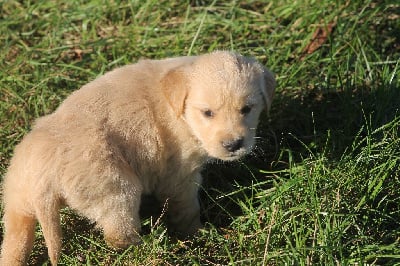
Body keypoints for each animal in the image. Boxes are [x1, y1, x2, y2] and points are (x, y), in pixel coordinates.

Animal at [0, 51, 276, 264]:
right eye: (207, 113)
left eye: (247, 109)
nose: (234, 144)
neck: (176, 107)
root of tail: (41, 182)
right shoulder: (178, 175)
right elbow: (187, 209)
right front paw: (197, 234)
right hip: (117, 188)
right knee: (118, 236)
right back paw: (152, 248)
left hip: (17, 207)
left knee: (14, 244)